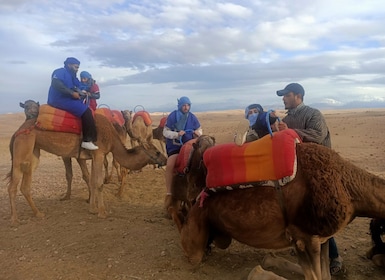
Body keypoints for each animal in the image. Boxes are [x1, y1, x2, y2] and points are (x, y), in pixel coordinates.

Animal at [5, 108, 165, 226]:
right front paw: (102, 212)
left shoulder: (95, 156)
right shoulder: (99, 153)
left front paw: (92, 209)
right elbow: (99, 183)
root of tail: (17, 131)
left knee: (25, 185)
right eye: (156, 152)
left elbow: (93, 182)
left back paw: (38, 213)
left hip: (33, 152)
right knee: (13, 186)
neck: (112, 138)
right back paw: (14, 220)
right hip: (23, 147)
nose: (164, 160)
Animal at [170, 143, 385, 278]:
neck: (346, 185)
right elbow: (314, 276)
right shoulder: (303, 238)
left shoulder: (321, 238)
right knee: (193, 250)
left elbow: (324, 276)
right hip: (196, 233)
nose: (372, 252)